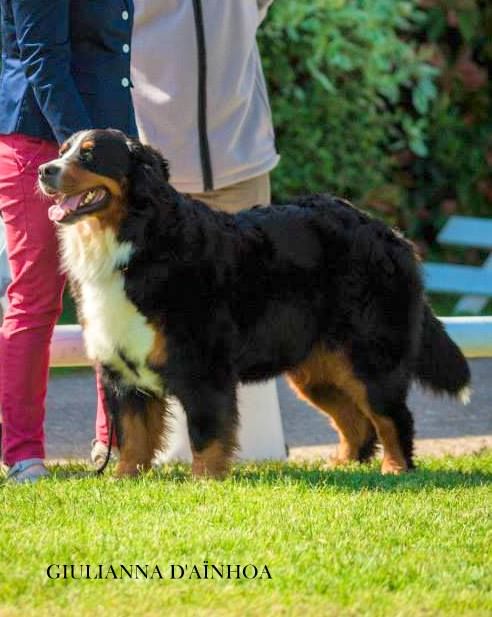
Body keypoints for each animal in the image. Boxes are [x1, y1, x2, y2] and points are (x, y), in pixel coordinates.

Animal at [37, 129, 468, 476]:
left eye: (89, 155)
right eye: (63, 150)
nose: (45, 170)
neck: (135, 242)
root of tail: (389, 233)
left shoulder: (203, 367)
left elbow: (206, 434)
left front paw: (205, 482)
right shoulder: (122, 367)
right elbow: (133, 435)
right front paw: (125, 479)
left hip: (370, 357)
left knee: (392, 416)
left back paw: (395, 468)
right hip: (317, 369)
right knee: (355, 421)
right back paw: (342, 464)